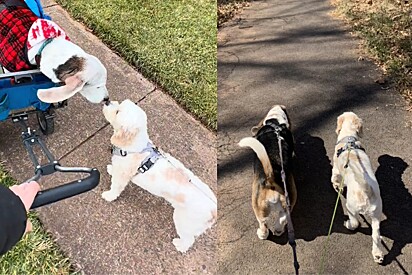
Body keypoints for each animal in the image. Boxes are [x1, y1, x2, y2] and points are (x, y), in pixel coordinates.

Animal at [101, 99, 217, 254]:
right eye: (119, 104)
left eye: (118, 111)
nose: (107, 101)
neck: (135, 146)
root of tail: (214, 209)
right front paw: (111, 169)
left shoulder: (123, 175)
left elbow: (115, 187)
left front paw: (108, 196)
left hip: (184, 222)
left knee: (189, 240)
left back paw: (180, 246)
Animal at [238, 106, 296, 240]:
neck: (275, 123)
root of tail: (271, 180)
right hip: (286, 205)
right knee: (281, 220)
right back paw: (278, 231)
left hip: (257, 206)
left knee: (263, 224)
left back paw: (261, 234)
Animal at [330, 111, 384, 264]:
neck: (349, 138)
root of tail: (365, 191)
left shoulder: (336, 170)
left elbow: (334, 178)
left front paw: (337, 186)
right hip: (376, 215)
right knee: (375, 235)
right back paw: (378, 254)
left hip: (350, 207)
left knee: (355, 223)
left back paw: (348, 224)